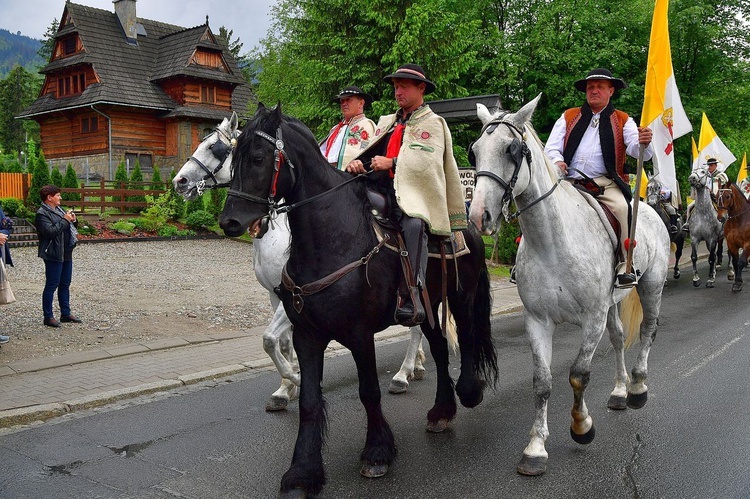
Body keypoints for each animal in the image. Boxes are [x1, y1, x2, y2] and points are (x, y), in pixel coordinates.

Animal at [173, 111, 426, 408]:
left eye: (216, 148)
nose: (180, 182)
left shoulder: (292, 298)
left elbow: (269, 338)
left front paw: (294, 377)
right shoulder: (275, 295)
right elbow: (282, 343)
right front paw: (285, 389)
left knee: (417, 327)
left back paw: (403, 373)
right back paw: (417, 365)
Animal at [220, 103, 496, 498]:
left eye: (258, 158)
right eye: (231, 157)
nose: (229, 221)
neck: (333, 237)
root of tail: (468, 225)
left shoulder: (360, 334)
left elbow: (369, 391)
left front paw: (377, 452)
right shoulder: (307, 336)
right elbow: (309, 400)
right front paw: (303, 471)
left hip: (460, 295)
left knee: (469, 337)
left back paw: (468, 391)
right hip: (427, 308)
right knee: (441, 349)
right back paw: (441, 411)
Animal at [468, 96, 672, 476]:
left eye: (512, 149)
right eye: (474, 152)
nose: (478, 216)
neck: (552, 243)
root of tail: (650, 209)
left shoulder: (591, 319)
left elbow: (578, 375)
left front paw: (581, 426)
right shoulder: (538, 321)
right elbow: (542, 382)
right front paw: (535, 448)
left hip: (651, 286)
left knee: (648, 331)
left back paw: (637, 387)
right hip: (612, 305)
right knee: (619, 339)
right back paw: (620, 392)